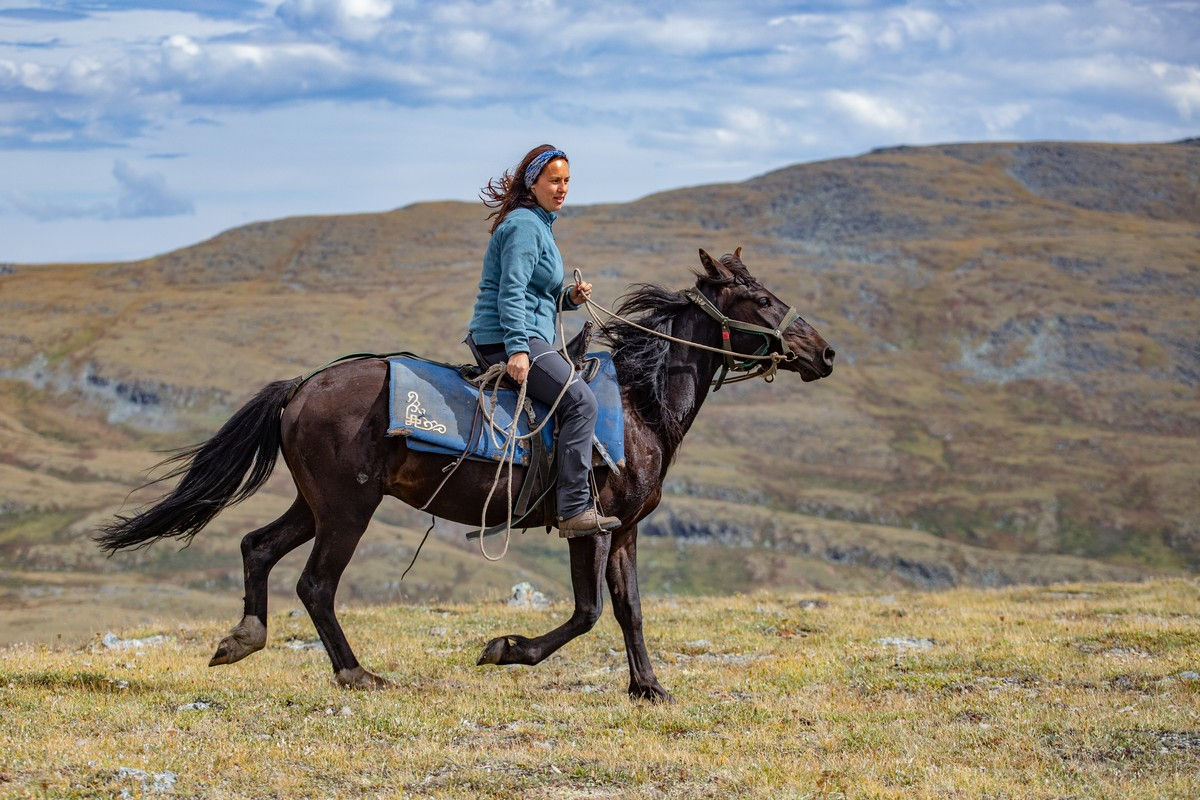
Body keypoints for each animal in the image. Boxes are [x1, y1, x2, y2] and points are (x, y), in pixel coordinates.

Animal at [98, 250, 835, 700]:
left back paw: (243, 639)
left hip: (316, 503)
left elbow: (628, 609)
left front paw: (648, 687)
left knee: (257, 547)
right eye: (759, 298)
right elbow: (587, 612)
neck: (638, 405)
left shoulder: (624, 529)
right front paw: (506, 649)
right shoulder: (588, 527)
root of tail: (301, 388)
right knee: (315, 583)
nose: (824, 353)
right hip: (347, 508)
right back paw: (356, 673)